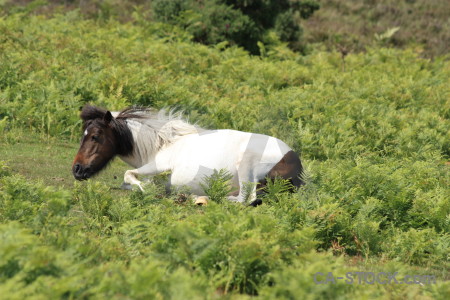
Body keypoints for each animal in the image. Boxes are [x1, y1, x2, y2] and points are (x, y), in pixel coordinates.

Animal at [73, 104, 306, 205]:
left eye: (94, 136)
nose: (76, 169)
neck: (163, 143)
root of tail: (294, 162)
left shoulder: (159, 166)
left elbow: (129, 175)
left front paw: (149, 190)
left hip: (246, 167)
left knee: (245, 199)